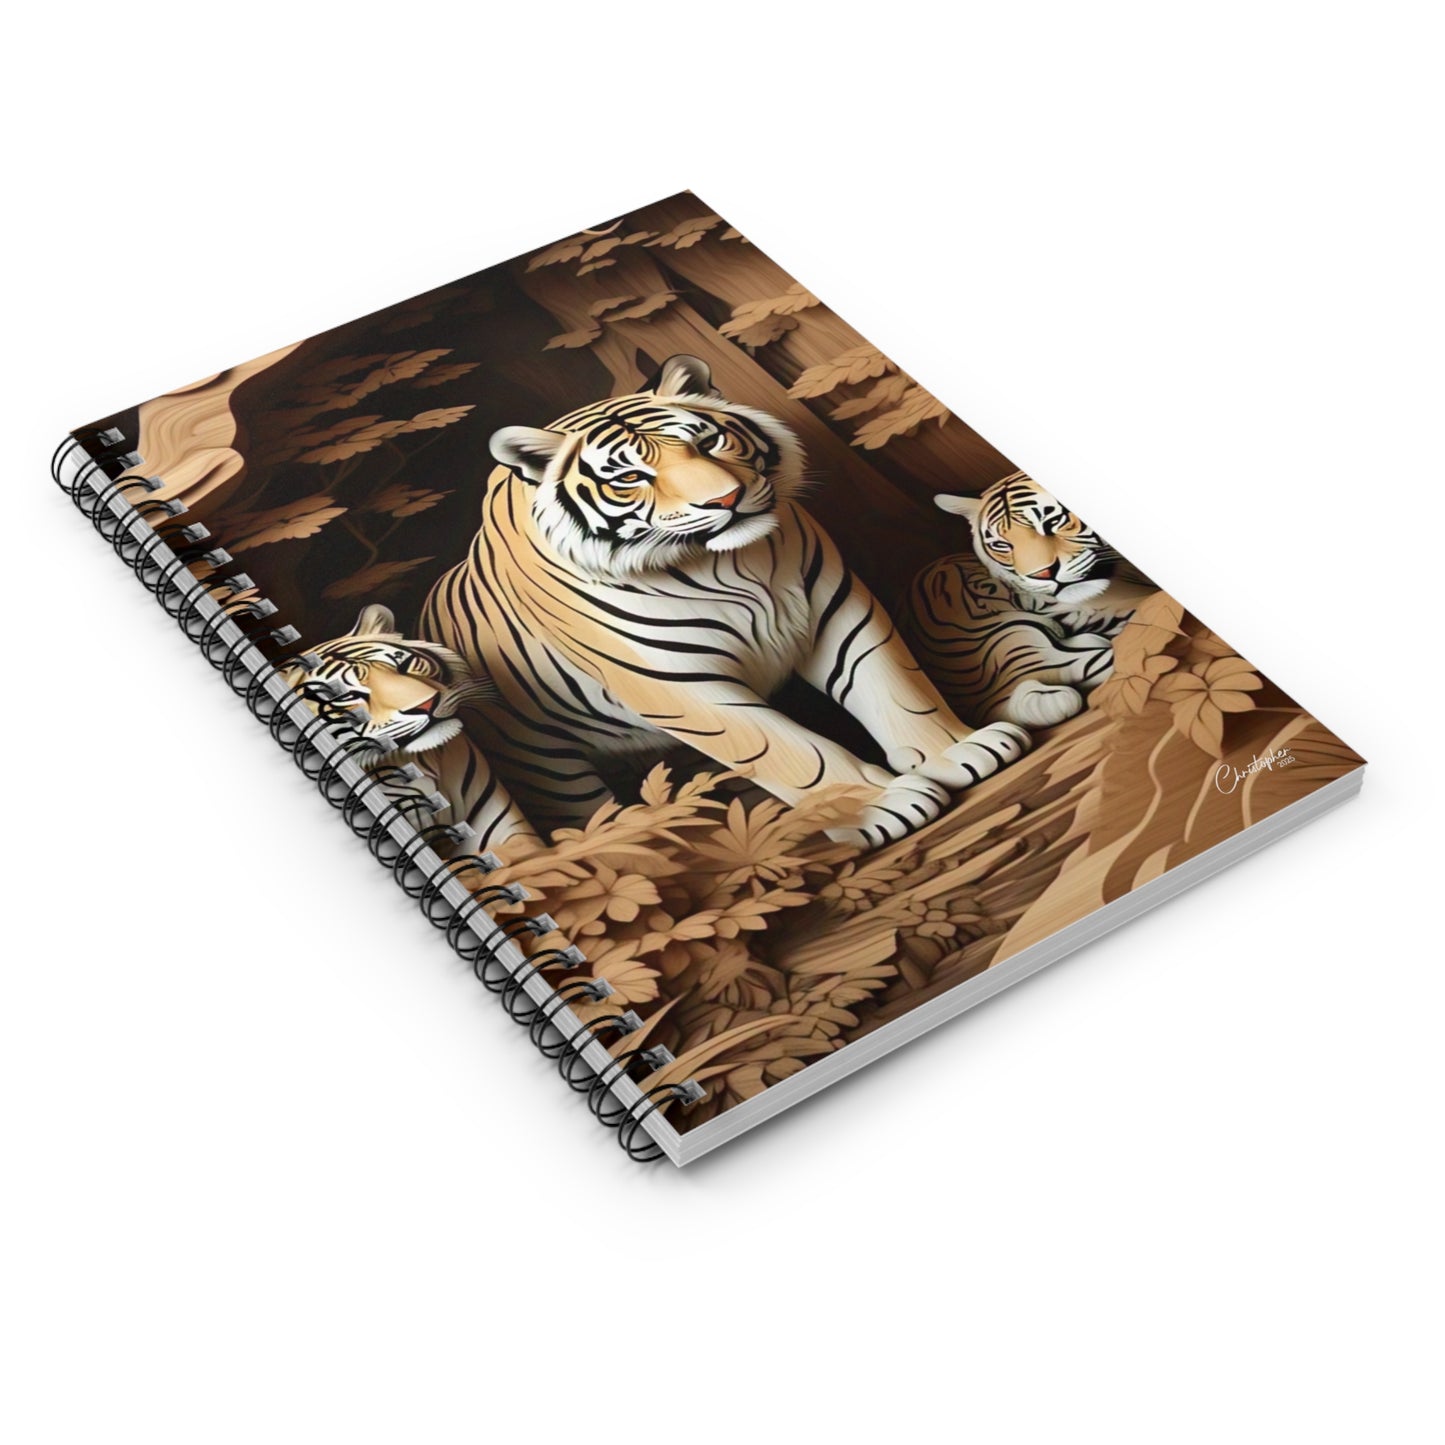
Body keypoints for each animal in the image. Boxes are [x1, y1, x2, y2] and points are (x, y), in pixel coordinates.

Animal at [420, 353, 1030, 851]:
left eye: (706, 443)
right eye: (630, 477)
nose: (726, 499)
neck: (725, 565)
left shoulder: (837, 609)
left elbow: (894, 686)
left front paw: (956, 751)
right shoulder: (679, 684)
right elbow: (787, 749)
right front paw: (878, 805)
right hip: (542, 765)